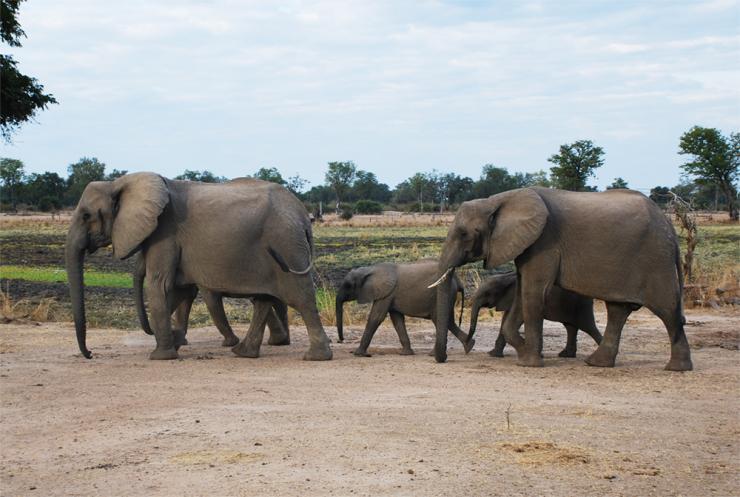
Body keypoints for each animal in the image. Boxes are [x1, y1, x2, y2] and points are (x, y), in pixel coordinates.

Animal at [66, 172, 332, 358]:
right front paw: (175, 342)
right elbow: (179, 292)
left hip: (287, 245)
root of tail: (303, 215)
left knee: (300, 296)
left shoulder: (166, 232)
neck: (119, 183)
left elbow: (160, 285)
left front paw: (162, 355)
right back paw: (244, 353)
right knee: (263, 299)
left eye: (87, 216)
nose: (90, 354)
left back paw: (315, 357)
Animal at [336, 260, 474, 356]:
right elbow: (397, 320)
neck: (370, 270)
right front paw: (406, 354)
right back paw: (469, 347)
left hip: (445, 294)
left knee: (441, 320)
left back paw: (434, 354)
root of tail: (458, 280)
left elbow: (376, 317)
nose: (341, 340)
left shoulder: (386, 293)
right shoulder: (390, 295)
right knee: (448, 321)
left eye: (348, 286)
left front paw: (358, 354)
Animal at [472, 272, 604, 356]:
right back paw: (565, 355)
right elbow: (505, 320)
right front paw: (492, 354)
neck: (505, 277)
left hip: (581, 305)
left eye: (487, 293)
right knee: (570, 327)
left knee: (588, 327)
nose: (471, 343)